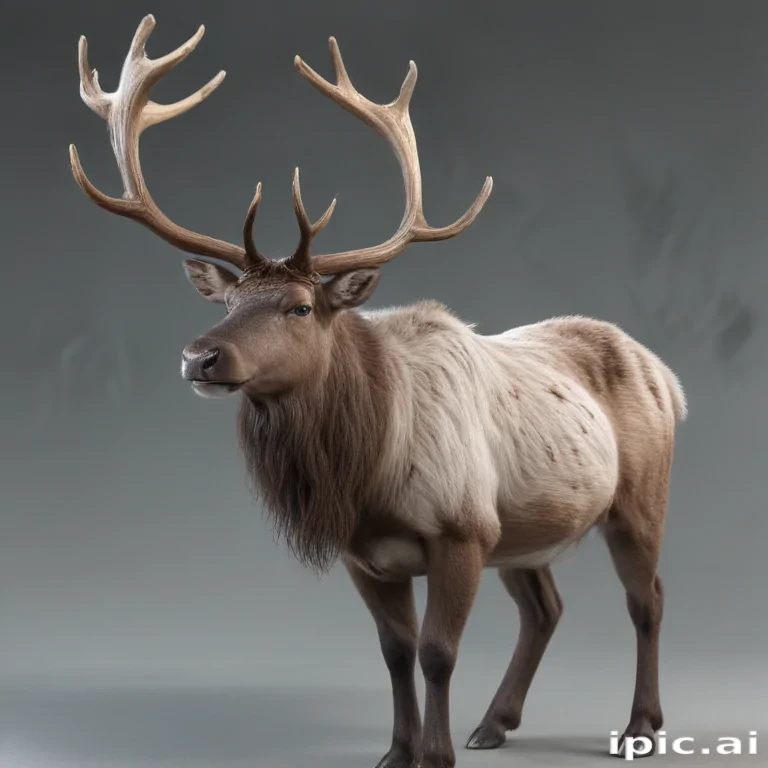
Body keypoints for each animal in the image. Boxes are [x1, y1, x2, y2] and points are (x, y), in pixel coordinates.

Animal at [69, 15, 687, 768]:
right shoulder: (368, 554)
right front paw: (399, 750)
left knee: (647, 598)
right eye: (229, 302)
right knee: (546, 607)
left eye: (301, 307)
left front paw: (437, 753)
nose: (200, 355)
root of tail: (668, 377)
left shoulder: (461, 529)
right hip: (522, 527)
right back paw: (495, 722)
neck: (367, 471)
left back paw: (640, 726)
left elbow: (438, 652)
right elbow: (395, 652)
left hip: (638, 498)